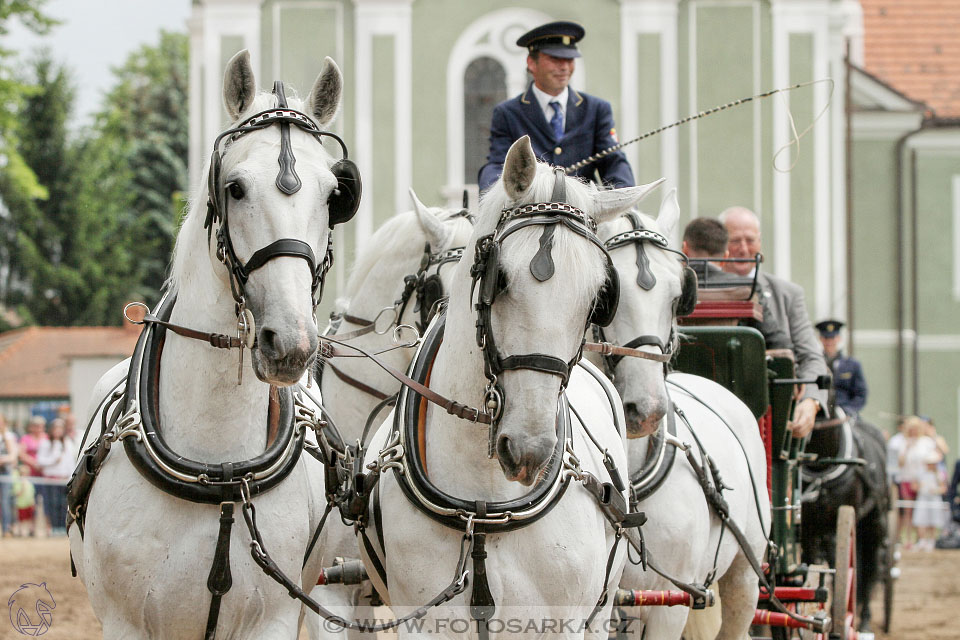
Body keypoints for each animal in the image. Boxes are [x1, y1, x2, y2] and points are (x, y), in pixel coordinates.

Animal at [72, 51, 348, 640]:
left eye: (333, 195)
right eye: (236, 187)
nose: (290, 342)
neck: (218, 467)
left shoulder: (273, 618)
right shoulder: (126, 622)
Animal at [360, 138, 668, 636]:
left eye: (599, 296)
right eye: (498, 278)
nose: (529, 449)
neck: (484, 504)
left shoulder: (561, 621)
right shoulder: (422, 619)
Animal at [800, 416, 888, 632]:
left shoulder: (834, 530)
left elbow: (840, 571)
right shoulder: (808, 529)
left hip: (874, 525)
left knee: (870, 568)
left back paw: (864, 621)